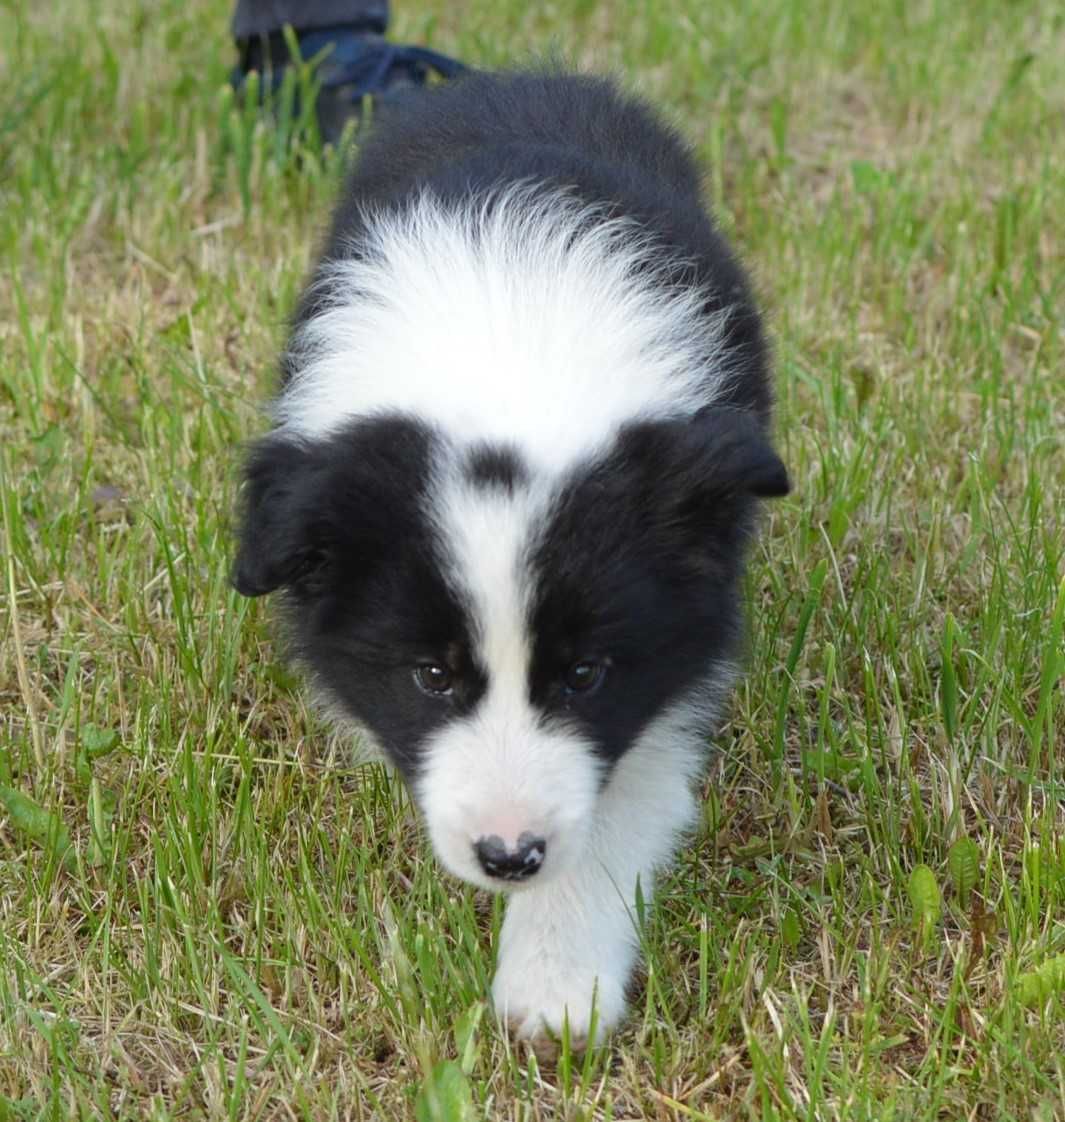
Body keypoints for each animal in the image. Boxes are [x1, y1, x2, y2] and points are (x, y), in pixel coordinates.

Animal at [232, 67, 785, 1050]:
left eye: (584, 673)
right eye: (429, 676)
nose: (509, 857)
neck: (505, 361)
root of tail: (520, 74)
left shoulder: (678, 646)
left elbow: (621, 792)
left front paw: (556, 986)